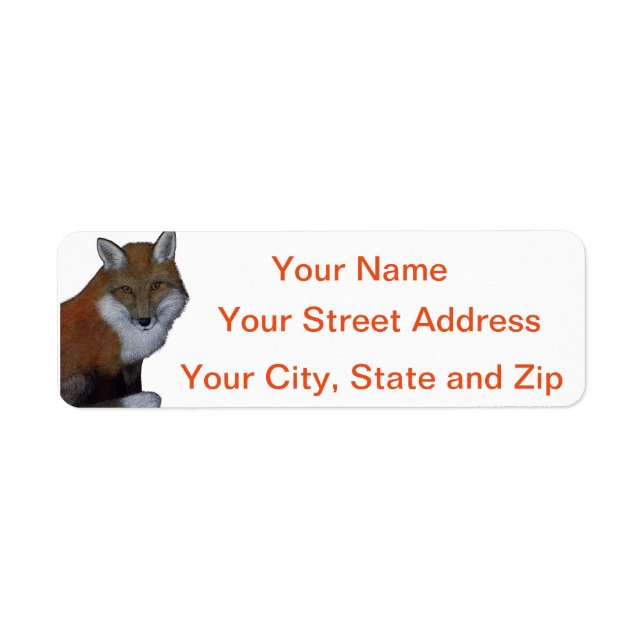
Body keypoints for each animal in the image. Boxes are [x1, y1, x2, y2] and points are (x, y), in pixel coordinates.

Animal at [60, 231, 189, 407]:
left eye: (155, 286)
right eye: (127, 289)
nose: (144, 321)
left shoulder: (132, 364)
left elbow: (134, 387)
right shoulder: (104, 368)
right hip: (81, 380)